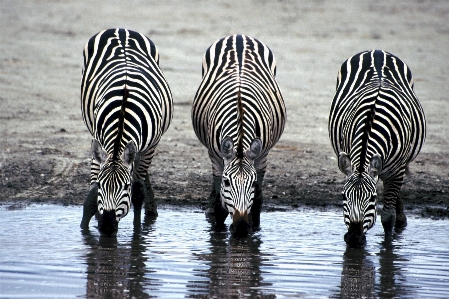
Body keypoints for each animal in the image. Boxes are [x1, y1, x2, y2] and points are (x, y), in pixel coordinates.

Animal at [79, 28, 173, 237]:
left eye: (125, 187)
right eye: (101, 185)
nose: (107, 227)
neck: (123, 111)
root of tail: (121, 29)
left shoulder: (150, 147)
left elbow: (138, 193)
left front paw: (138, 234)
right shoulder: (98, 141)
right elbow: (91, 195)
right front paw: (86, 228)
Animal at [191, 34, 286, 237]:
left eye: (252, 184)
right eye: (227, 182)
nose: (241, 227)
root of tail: (239, 36)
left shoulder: (262, 155)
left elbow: (257, 201)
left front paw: (254, 228)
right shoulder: (215, 155)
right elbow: (220, 203)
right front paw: (218, 229)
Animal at [328, 49, 426, 246]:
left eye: (373, 199)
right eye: (343, 196)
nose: (353, 238)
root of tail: (377, 51)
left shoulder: (396, 170)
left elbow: (387, 217)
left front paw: (388, 246)